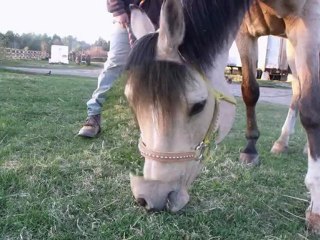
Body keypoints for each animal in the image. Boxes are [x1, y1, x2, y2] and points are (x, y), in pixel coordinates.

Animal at [236, 0, 320, 232]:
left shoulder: (309, 19)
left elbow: (311, 109)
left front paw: (316, 207)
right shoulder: (243, 29)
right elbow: (249, 90)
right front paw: (250, 149)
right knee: (297, 90)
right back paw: (283, 143)